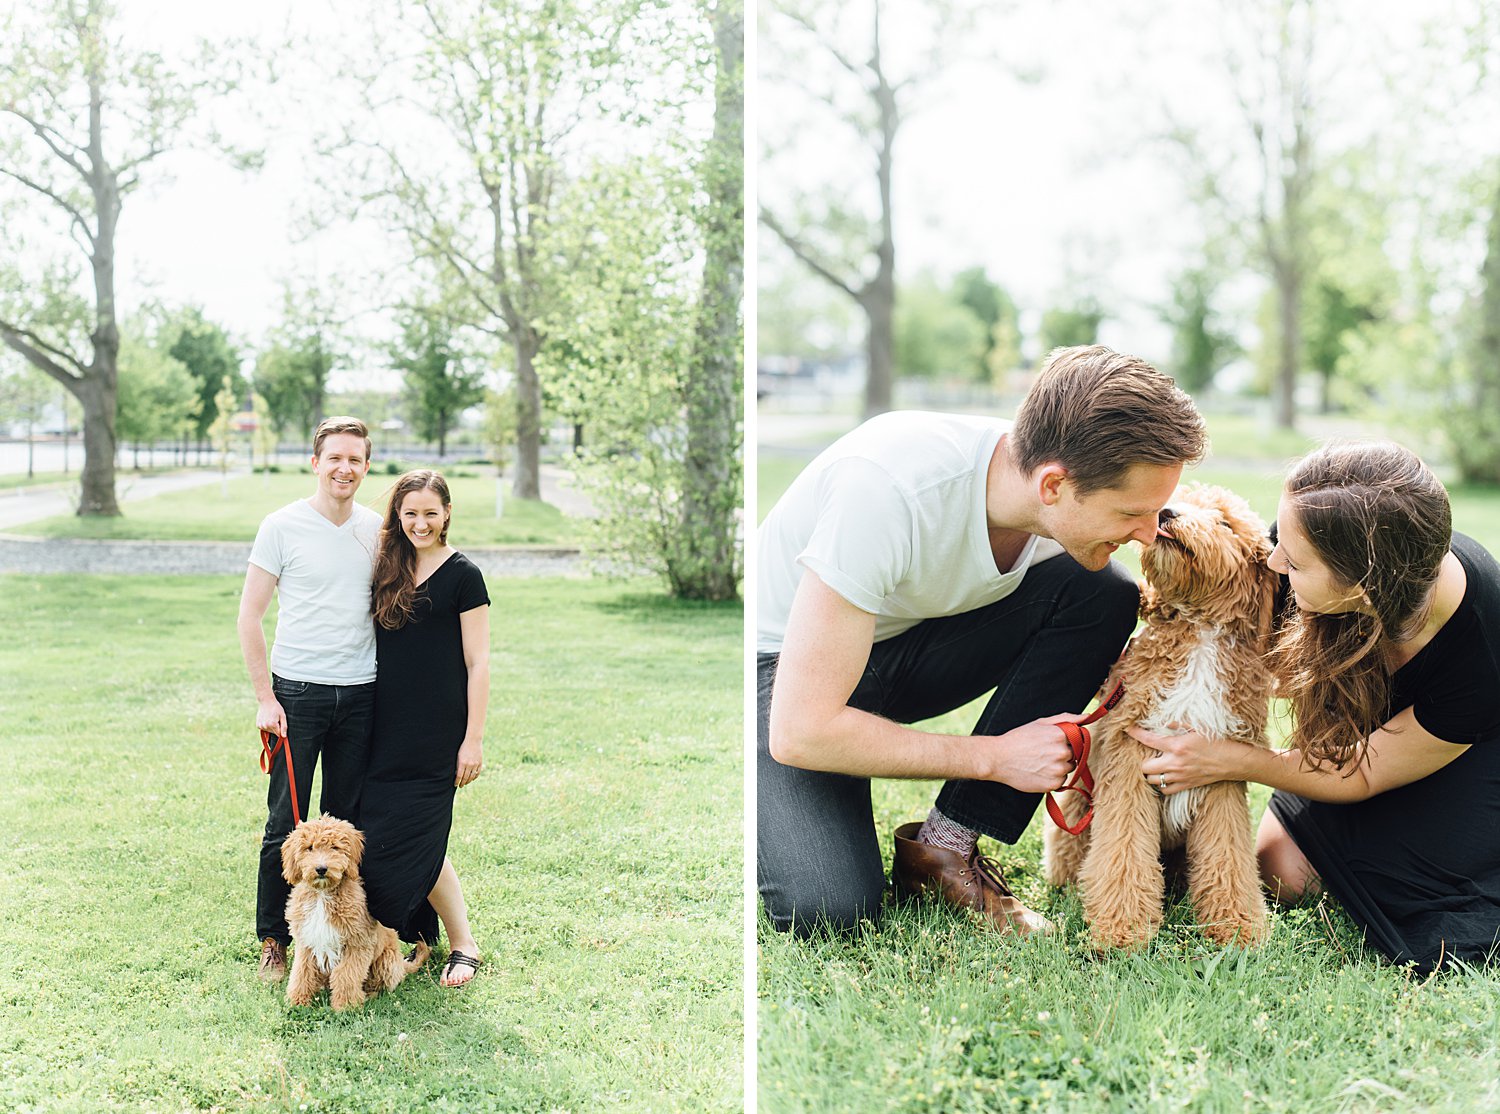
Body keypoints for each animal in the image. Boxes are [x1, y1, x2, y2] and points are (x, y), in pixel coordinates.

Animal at [280, 821, 429, 1013]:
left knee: (380, 984)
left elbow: (345, 975)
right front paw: (297, 1003)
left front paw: (345, 1007)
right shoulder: (306, 941)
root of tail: (402, 965)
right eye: (309, 847)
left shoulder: (357, 944)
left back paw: (369, 996)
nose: (321, 869)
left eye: (334, 847)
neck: (323, 895)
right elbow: (301, 972)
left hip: (387, 960)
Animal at [1044, 485, 1278, 947]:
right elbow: (1124, 850)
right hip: (1078, 810)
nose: (1168, 513)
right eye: (1179, 499)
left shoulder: (1220, 766)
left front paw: (1238, 928)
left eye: (1224, 522)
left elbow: (1229, 855)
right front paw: (1122, 931)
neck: (1200, 633)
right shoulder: (1129, 755)